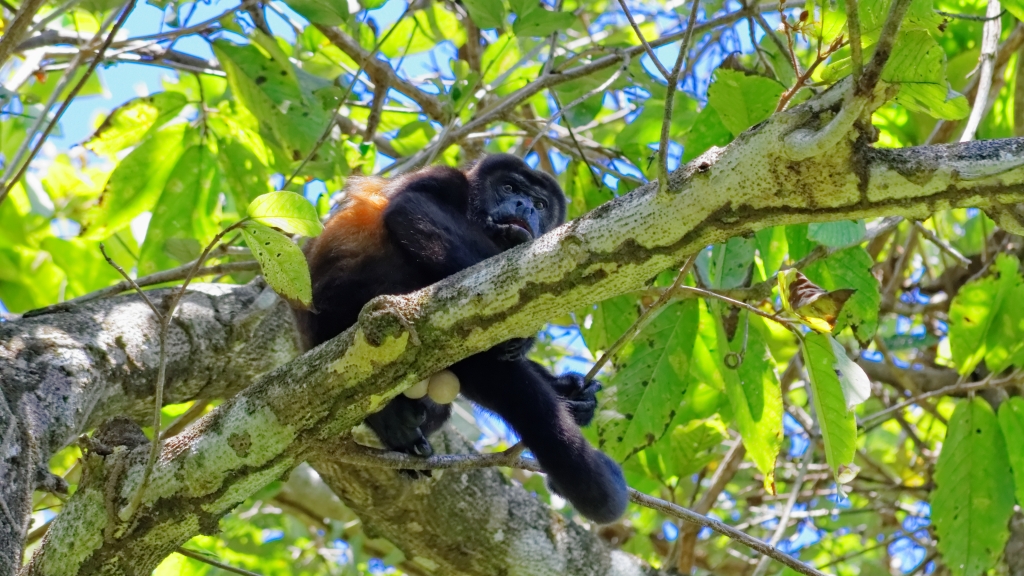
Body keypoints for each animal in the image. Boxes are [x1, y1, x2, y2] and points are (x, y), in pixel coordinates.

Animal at [294, 154, 628, 524]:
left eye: (540, 204)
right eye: (508, 187)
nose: (524, 205)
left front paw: (573, 394)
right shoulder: (444, 177)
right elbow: (413, 207)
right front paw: (523, 338)